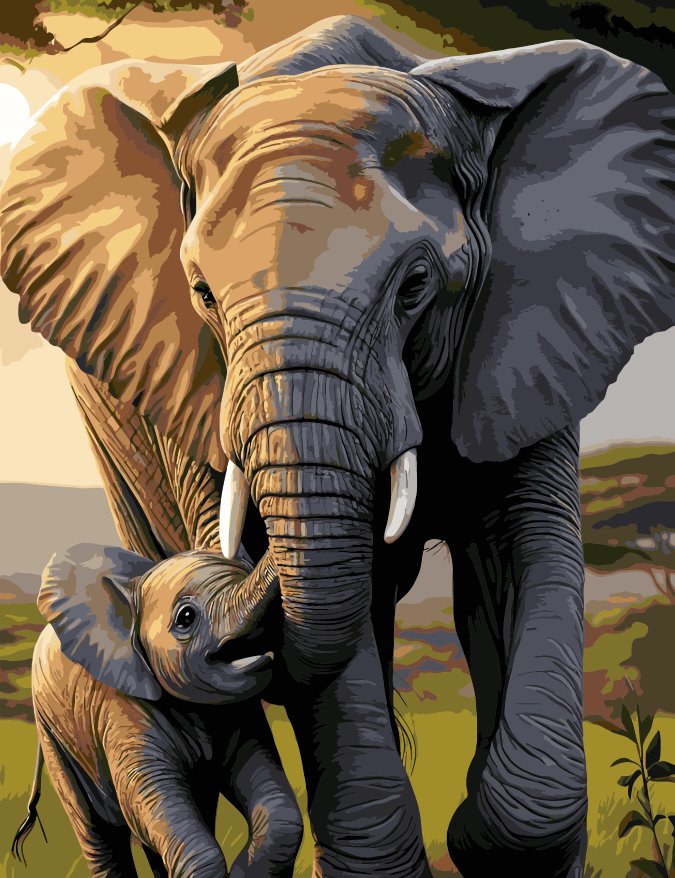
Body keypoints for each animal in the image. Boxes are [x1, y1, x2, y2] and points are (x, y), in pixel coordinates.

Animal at [13, 544, 302, 878]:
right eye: (186, 617)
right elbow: (147, 797)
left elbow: (270, 794)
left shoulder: (238, 714)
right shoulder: (120, 705)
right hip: (54, 737)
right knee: (98, 833)